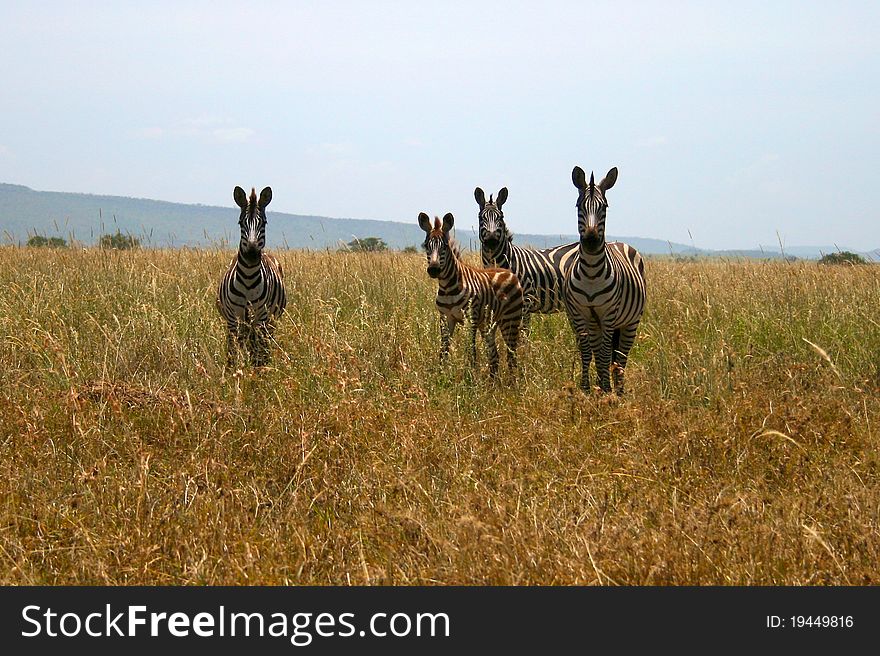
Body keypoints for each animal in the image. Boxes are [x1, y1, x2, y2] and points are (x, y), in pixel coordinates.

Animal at [216, 187, 288, 366]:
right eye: (241, 223)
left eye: (264, 223)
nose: (251, 256)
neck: (248, 278)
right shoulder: (233, 318)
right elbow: (232, 352)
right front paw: (232, 372)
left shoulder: (261, 317)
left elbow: (258, 353)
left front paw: (256, 372)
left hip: (269, 322)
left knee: (262, 346)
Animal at [418, 213, 524, 376]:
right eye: (426, 246)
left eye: (445, 246)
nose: (434, 269)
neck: (447, 288)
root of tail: (509, 272)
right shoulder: (445, 318)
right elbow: (443, 350)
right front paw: (440, 375)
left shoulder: (470, 318)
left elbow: (470, 350)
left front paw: (470, 378)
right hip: (488, 323)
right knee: (494, 355)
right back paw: (493, 381)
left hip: (511, 319)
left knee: (511, 354)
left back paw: (512, 381)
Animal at [564, 168, 648, 394]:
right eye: (578, 206)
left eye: (604, 206)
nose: (592, 242)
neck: (592, 271)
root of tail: (619, 243)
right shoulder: (581, 313)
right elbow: (588, 352)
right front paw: (586, 388)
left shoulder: (609, 314)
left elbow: (603, 353)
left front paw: (606, 389)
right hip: (597, 323)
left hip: (630, 321)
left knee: (621, 355)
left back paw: (618, 389)